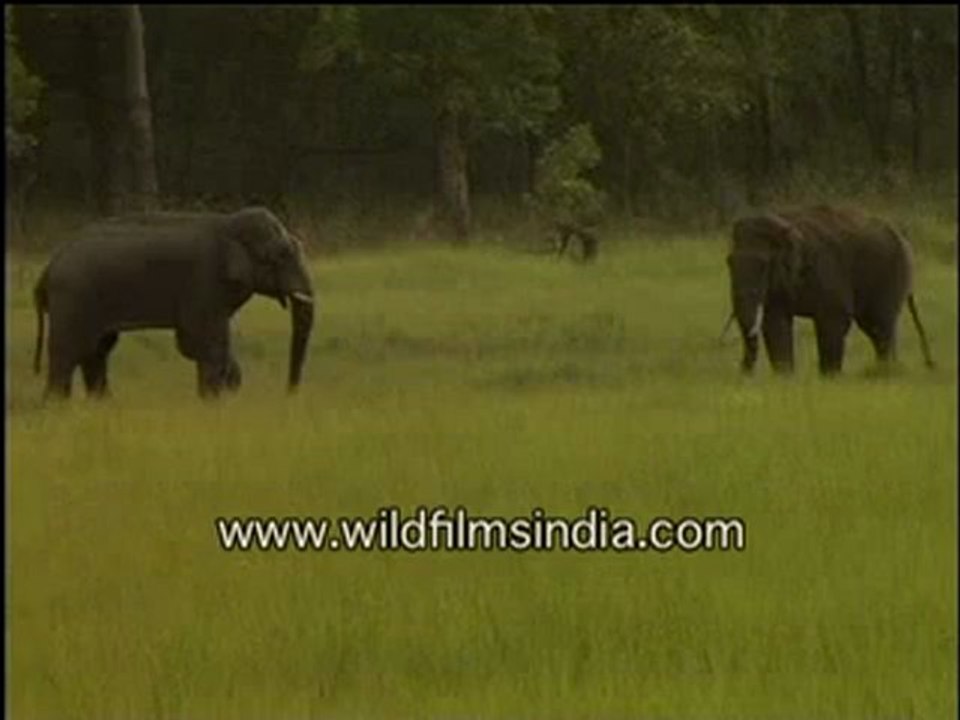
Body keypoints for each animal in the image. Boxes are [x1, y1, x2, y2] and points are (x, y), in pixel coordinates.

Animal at [32, 206, 315, 400]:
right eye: (281, 255)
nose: (290, 393)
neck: (227, 222)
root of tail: (47, 268)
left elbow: (207, 346)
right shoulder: (204, 283)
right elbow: (203, 345)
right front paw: (214, 401)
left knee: (96, 352)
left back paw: (102, 406)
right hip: (72, 299)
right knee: (69, 354)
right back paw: (58, 406)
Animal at [726, 204, 934, 376]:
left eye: (763, 266)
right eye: (729, 263)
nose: (743, 372)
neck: (786, 223)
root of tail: (903, 237)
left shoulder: (827, 270)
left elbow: (832, 318)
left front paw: (829, 377)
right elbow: (774, 323)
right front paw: (785, 377)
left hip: (889, 276)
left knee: (880, 326)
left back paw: (886, 371)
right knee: (874, 328)